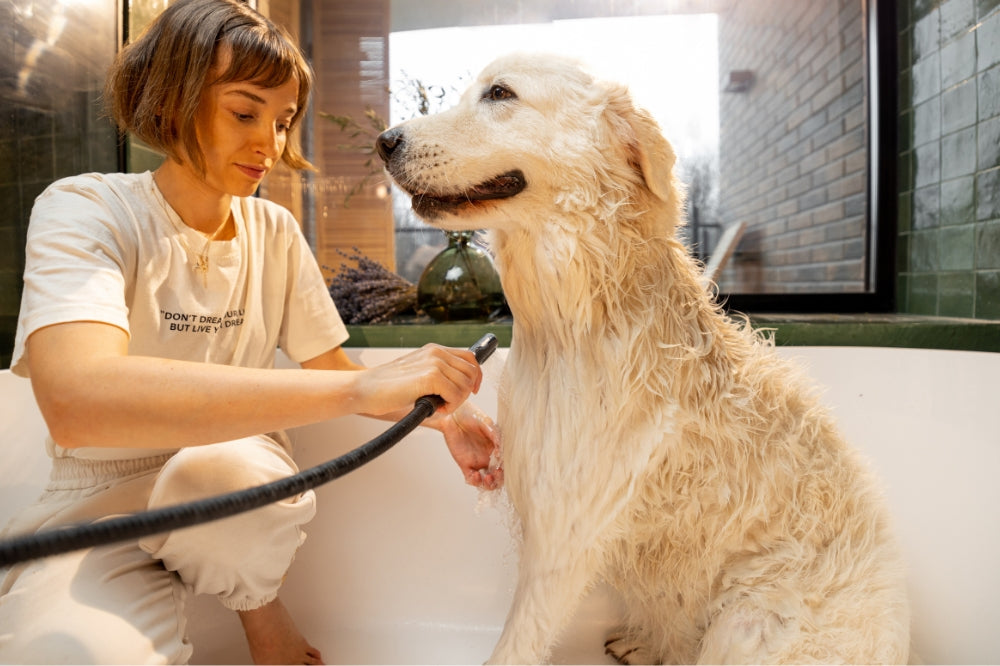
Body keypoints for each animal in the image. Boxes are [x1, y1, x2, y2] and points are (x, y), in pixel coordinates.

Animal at [376, 54, 908, 660]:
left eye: (500, 93)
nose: (384, 141)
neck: (578, 323)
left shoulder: (565, 536)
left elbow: (516, 644)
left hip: (747, 623)